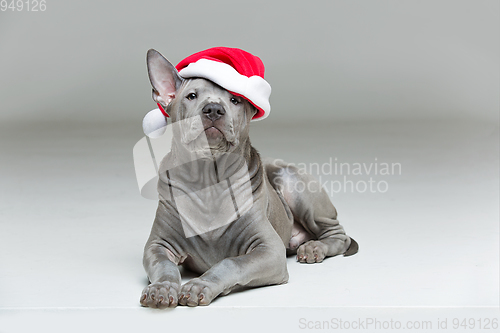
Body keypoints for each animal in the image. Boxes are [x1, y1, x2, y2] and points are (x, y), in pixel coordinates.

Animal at [140, 48, 360, 308]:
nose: (213, 109)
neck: (208, 180)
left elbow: (230, 263)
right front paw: (161, 288)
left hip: (294, 183)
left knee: (338, 234)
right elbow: (164, 266)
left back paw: (315, 247)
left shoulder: (269, 250)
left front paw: (200, 285)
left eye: (235, 100)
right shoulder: (158, 245)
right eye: (191, 96)